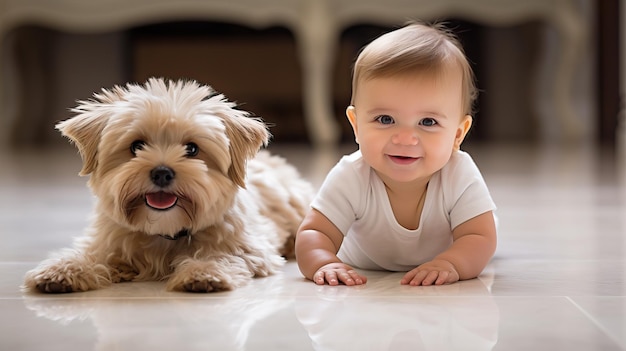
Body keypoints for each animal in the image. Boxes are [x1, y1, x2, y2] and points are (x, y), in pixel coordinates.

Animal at [22, 77, 314, 294]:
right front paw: (63, 269)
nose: (162, 172)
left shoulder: (250, 248)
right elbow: (91, 255)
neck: (165, 230)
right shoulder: (107, 242)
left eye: (192, 149)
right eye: (136, 146)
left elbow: (222, 255)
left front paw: (203, 271)